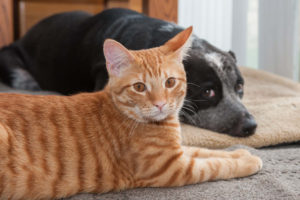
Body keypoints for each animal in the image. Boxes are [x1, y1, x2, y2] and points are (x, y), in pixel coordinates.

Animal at [0, 27, 262, 200]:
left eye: (170, 82)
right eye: (139, 87)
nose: (160, 104)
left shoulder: (178, 151)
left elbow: (204, 151)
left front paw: (239, 153)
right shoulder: (171, 168)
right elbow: (215, 165)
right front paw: (247, 161)